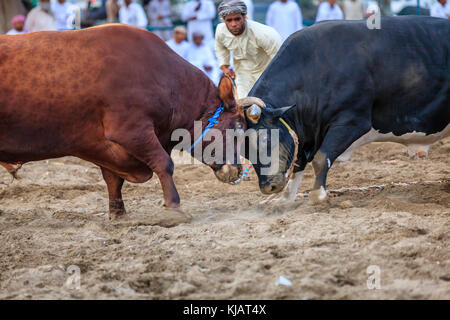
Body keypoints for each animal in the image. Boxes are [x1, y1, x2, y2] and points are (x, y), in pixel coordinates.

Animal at [0, 25, 246, 220]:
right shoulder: (131, 131)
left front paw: (118, 213)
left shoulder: (103, 146)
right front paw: (174, 207)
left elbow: (113, 179)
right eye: (236, 128)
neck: (165, 78)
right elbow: (164, 163)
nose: (237, 169)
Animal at [243, 16, 450, 202]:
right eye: (244, 151)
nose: (268, 187)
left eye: (264, 139)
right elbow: (299, 163)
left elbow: (321, 158)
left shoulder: (352, 122)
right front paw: (285, 199)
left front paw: (318, 196)